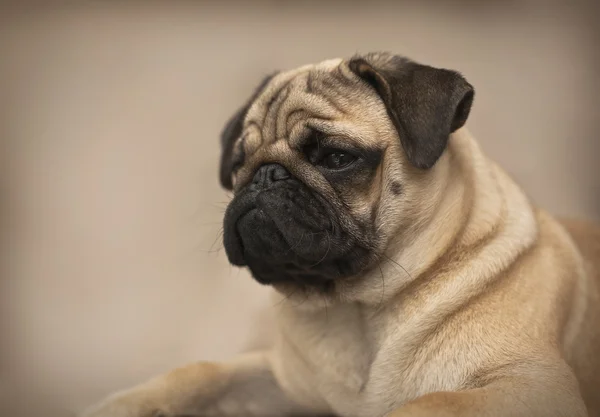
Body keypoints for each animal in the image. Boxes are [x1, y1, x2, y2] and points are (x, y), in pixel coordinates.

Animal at [81, 52, 600, 416]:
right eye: (238, 164)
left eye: (336, 157)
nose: (264, 177)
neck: (358, 308)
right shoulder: (281, 380)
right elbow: (201, 372)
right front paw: (119, 405)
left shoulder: (528, 384)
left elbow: (430, 403)